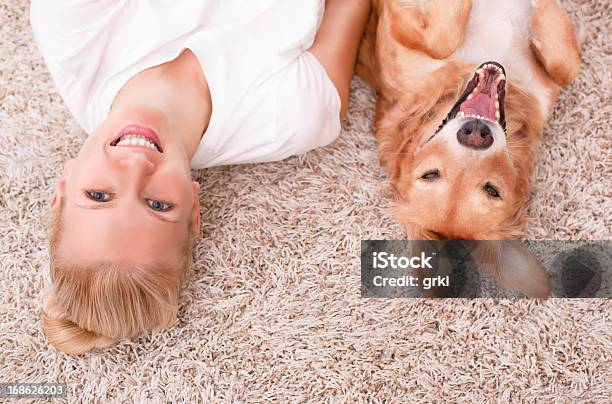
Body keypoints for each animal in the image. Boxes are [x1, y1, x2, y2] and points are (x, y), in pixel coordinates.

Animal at [358, 0, 584, 296]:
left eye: (492, 190)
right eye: (430, 174)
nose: (476, 134)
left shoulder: (543, 90)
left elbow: (565, 68)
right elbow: (442, 42)